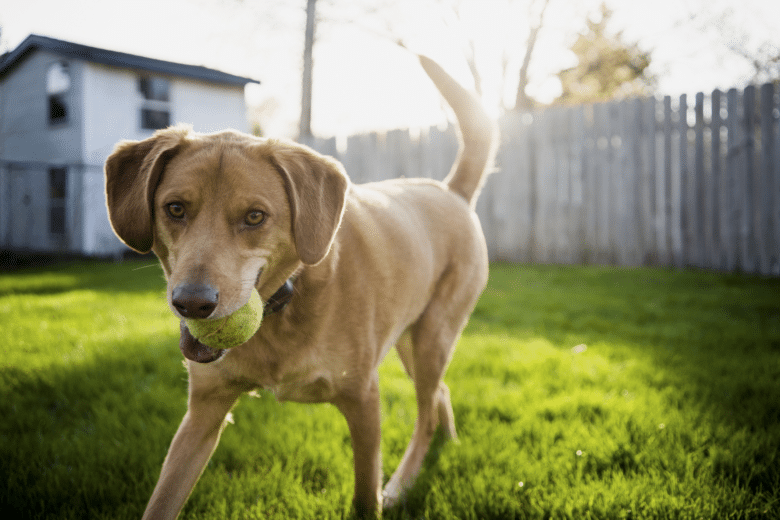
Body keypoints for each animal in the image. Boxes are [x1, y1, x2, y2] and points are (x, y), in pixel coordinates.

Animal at [104, 55, 497, 519]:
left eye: (255, 217)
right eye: (175, 209)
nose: (192, 304)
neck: (283, 306)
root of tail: (452, 191)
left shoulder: (364, 402)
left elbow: (365, 496)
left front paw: (378, 495)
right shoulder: (202, 415)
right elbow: (163, 500)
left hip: (433, 337)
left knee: (427, 410)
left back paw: (402, 482)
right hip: (410, 342)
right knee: (439, 395)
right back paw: (446, 444)